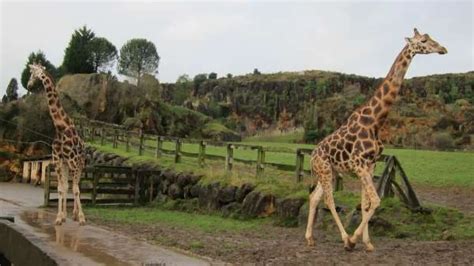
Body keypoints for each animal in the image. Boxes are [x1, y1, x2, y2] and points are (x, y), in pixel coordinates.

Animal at [27, 63, 86, 225]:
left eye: (32, 73)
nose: (28, 85)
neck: (60, 126)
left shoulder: (73, 161)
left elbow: (76, 189)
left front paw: (82, 218)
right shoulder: (59, 160)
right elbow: (61, 188)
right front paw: (60, 217)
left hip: (79, 164)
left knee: (77, 186)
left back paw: (77, 214)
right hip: (67, 164)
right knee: (68, 186)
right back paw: (69, 214)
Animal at [306, 29, 446, 251]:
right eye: (424, 40)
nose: (443, 49)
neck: (375, 121)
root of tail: (312, 155)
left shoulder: (370, 165)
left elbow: (366, 203)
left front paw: (368, 243)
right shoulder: (359, 164)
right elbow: (376, 200)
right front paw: (354, 240)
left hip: (329, 171)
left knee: (314, 197)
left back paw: (310, 238)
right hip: (326, 170)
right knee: (328, 200)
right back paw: (344, 239)